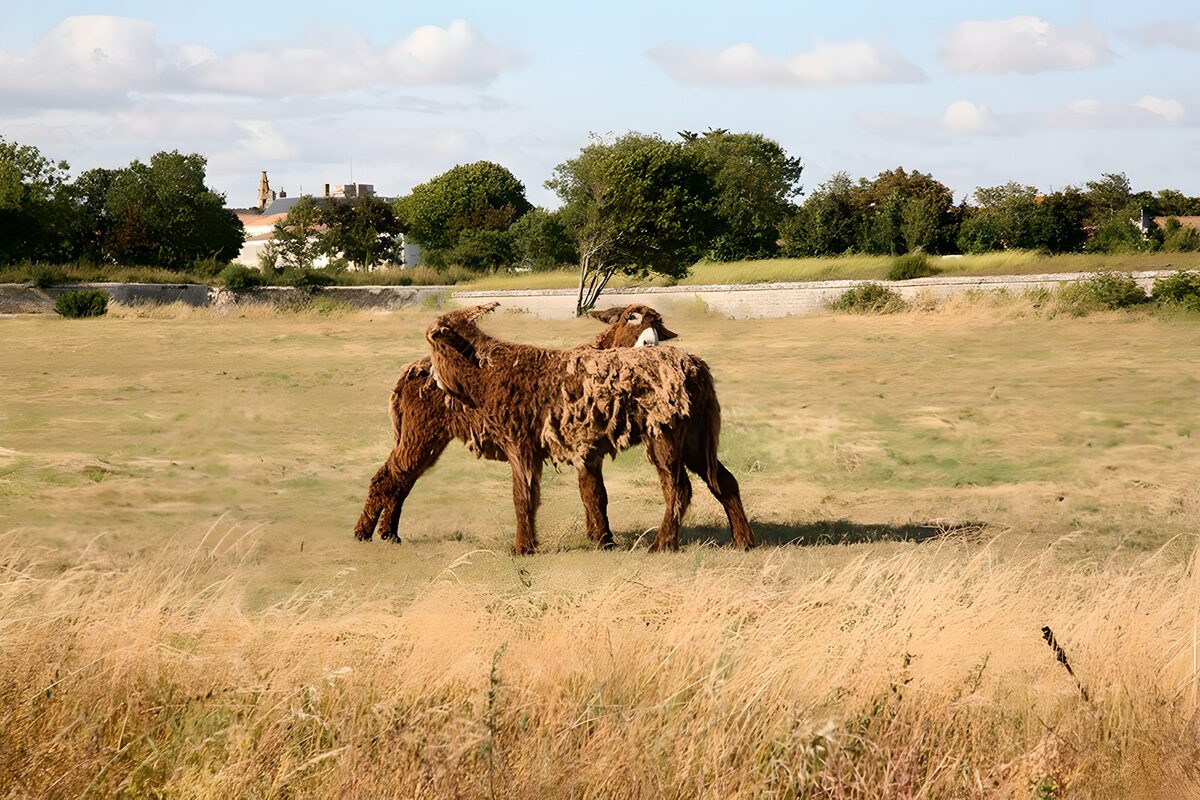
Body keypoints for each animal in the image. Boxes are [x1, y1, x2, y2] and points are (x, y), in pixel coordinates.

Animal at [353, 303, 680, 546]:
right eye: (630, 318)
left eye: (659, 327)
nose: (650, 345)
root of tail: (411, 370)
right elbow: (588, 493)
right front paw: (602, 539)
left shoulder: (588, 450)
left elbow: (595, 494)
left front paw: (602, 538)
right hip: (421, 432)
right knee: (389, 477)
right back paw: (364, 533)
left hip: (426, 436)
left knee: (401, 478)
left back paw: (388, 533)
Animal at [425, 303, 754, 554]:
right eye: (630, 318)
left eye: (432, 341)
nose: (432, 379)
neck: (486, 371)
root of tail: (697, 367)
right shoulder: (586, 449)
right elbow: (593, 493)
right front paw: (601, 540)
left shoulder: (520, 444)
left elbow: (523, 497)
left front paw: (522, 549)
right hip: (695, 437)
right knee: (724, 481)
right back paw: (743, 541)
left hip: (666, 433)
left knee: (678, 488)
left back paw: (662, 545)